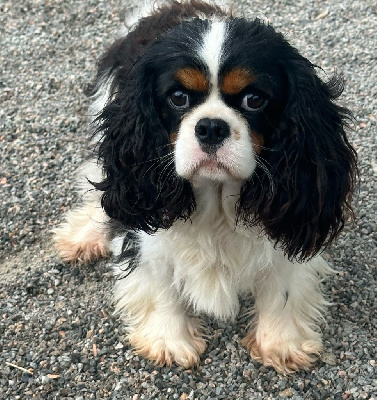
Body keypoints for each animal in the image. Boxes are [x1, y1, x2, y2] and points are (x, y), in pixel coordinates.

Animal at [53, 0, 356, 376]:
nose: (211, 126)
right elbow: (159, 281)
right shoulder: (149, 228)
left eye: (254, 99)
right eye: (178, 97)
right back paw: (84, 236)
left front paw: (280, 342)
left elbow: (282, 284)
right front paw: (169, 339)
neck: (217, 197)